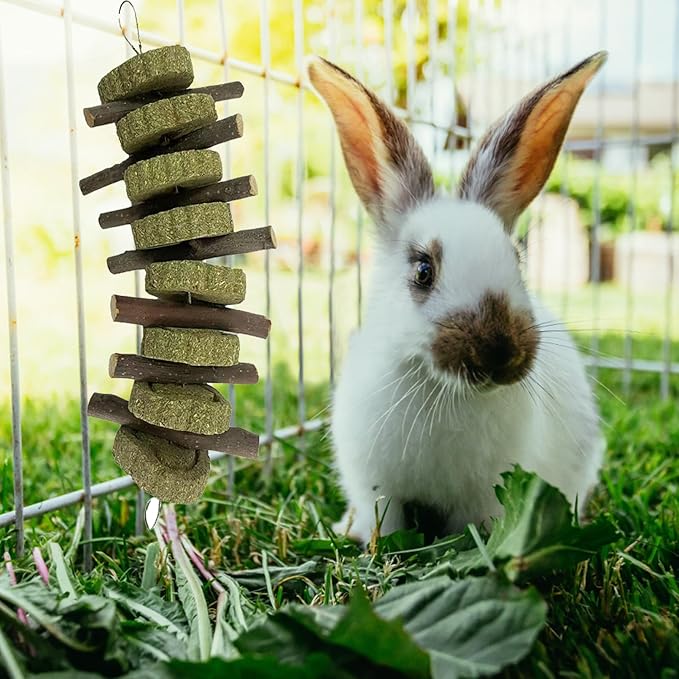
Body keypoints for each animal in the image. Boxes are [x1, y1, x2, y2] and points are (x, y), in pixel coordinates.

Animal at [306, 51, 608, 544]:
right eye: (423, 271)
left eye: (518, 259)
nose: (500, 353)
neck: (442, 390)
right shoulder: (375, 485)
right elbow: (384, 521)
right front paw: (373, 542)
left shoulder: (485, 495)